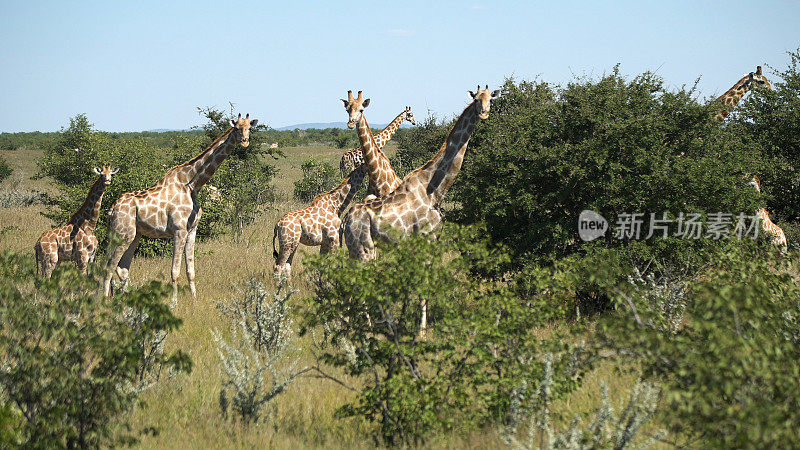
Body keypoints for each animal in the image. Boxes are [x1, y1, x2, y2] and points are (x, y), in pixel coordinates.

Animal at [103, 112, 258, 298]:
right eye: (236, 128)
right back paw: (102, 300)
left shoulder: (192, 230)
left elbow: (190, 270)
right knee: (108, 267)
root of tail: (112, 209)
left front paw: (194, 299)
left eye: (249, 128)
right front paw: (174, 302)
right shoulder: (179, 230)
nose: (245, 141)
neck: (192, 185)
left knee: (122, 268)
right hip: (121, 234)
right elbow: (174, 272)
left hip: (134, 235)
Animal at [342, 86, 500, 336]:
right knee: (360, 281)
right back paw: (368, 328)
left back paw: (349, 323)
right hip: (364, 249)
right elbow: (422, 284)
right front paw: (421, 332)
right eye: (476, 99)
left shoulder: (432, 240)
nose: (483, 113)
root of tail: (345, 221)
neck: (434, 188)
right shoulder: (425, 237)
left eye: (490, 99)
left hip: (354, 249)